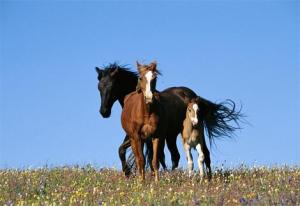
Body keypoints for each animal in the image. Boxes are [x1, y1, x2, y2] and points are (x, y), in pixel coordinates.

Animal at [96, 62, 244, 175]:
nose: (104, 112)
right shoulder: (138, 135)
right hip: (171, 136)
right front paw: (130, 172)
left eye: (112, 86)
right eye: (99, 87)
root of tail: (194, 95)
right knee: (175, 156)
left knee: (203, 154)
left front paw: (129, 172)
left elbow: (145, 155)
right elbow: (128, 152)